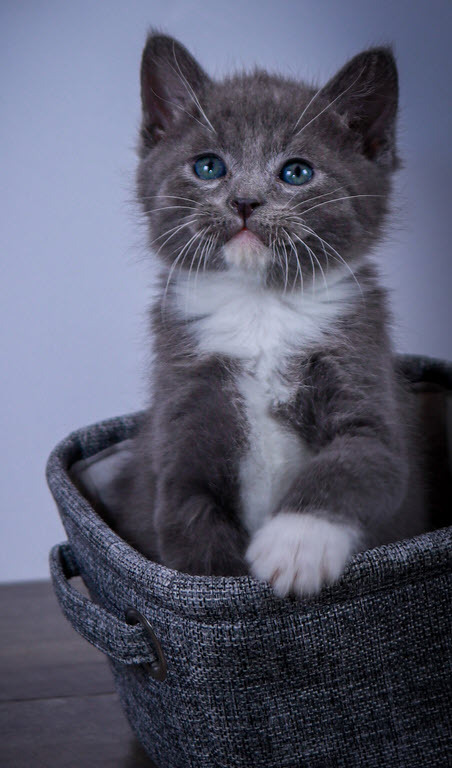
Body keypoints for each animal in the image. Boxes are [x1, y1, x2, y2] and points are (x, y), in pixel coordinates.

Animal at [110, 33, 428, 596]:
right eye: (209, 166)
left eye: (296, 172)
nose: (245, 201)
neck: (259, 309)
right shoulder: (181, 418)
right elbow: (189, 528)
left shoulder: (368, 384)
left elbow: (359, 461)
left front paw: (296, 545)